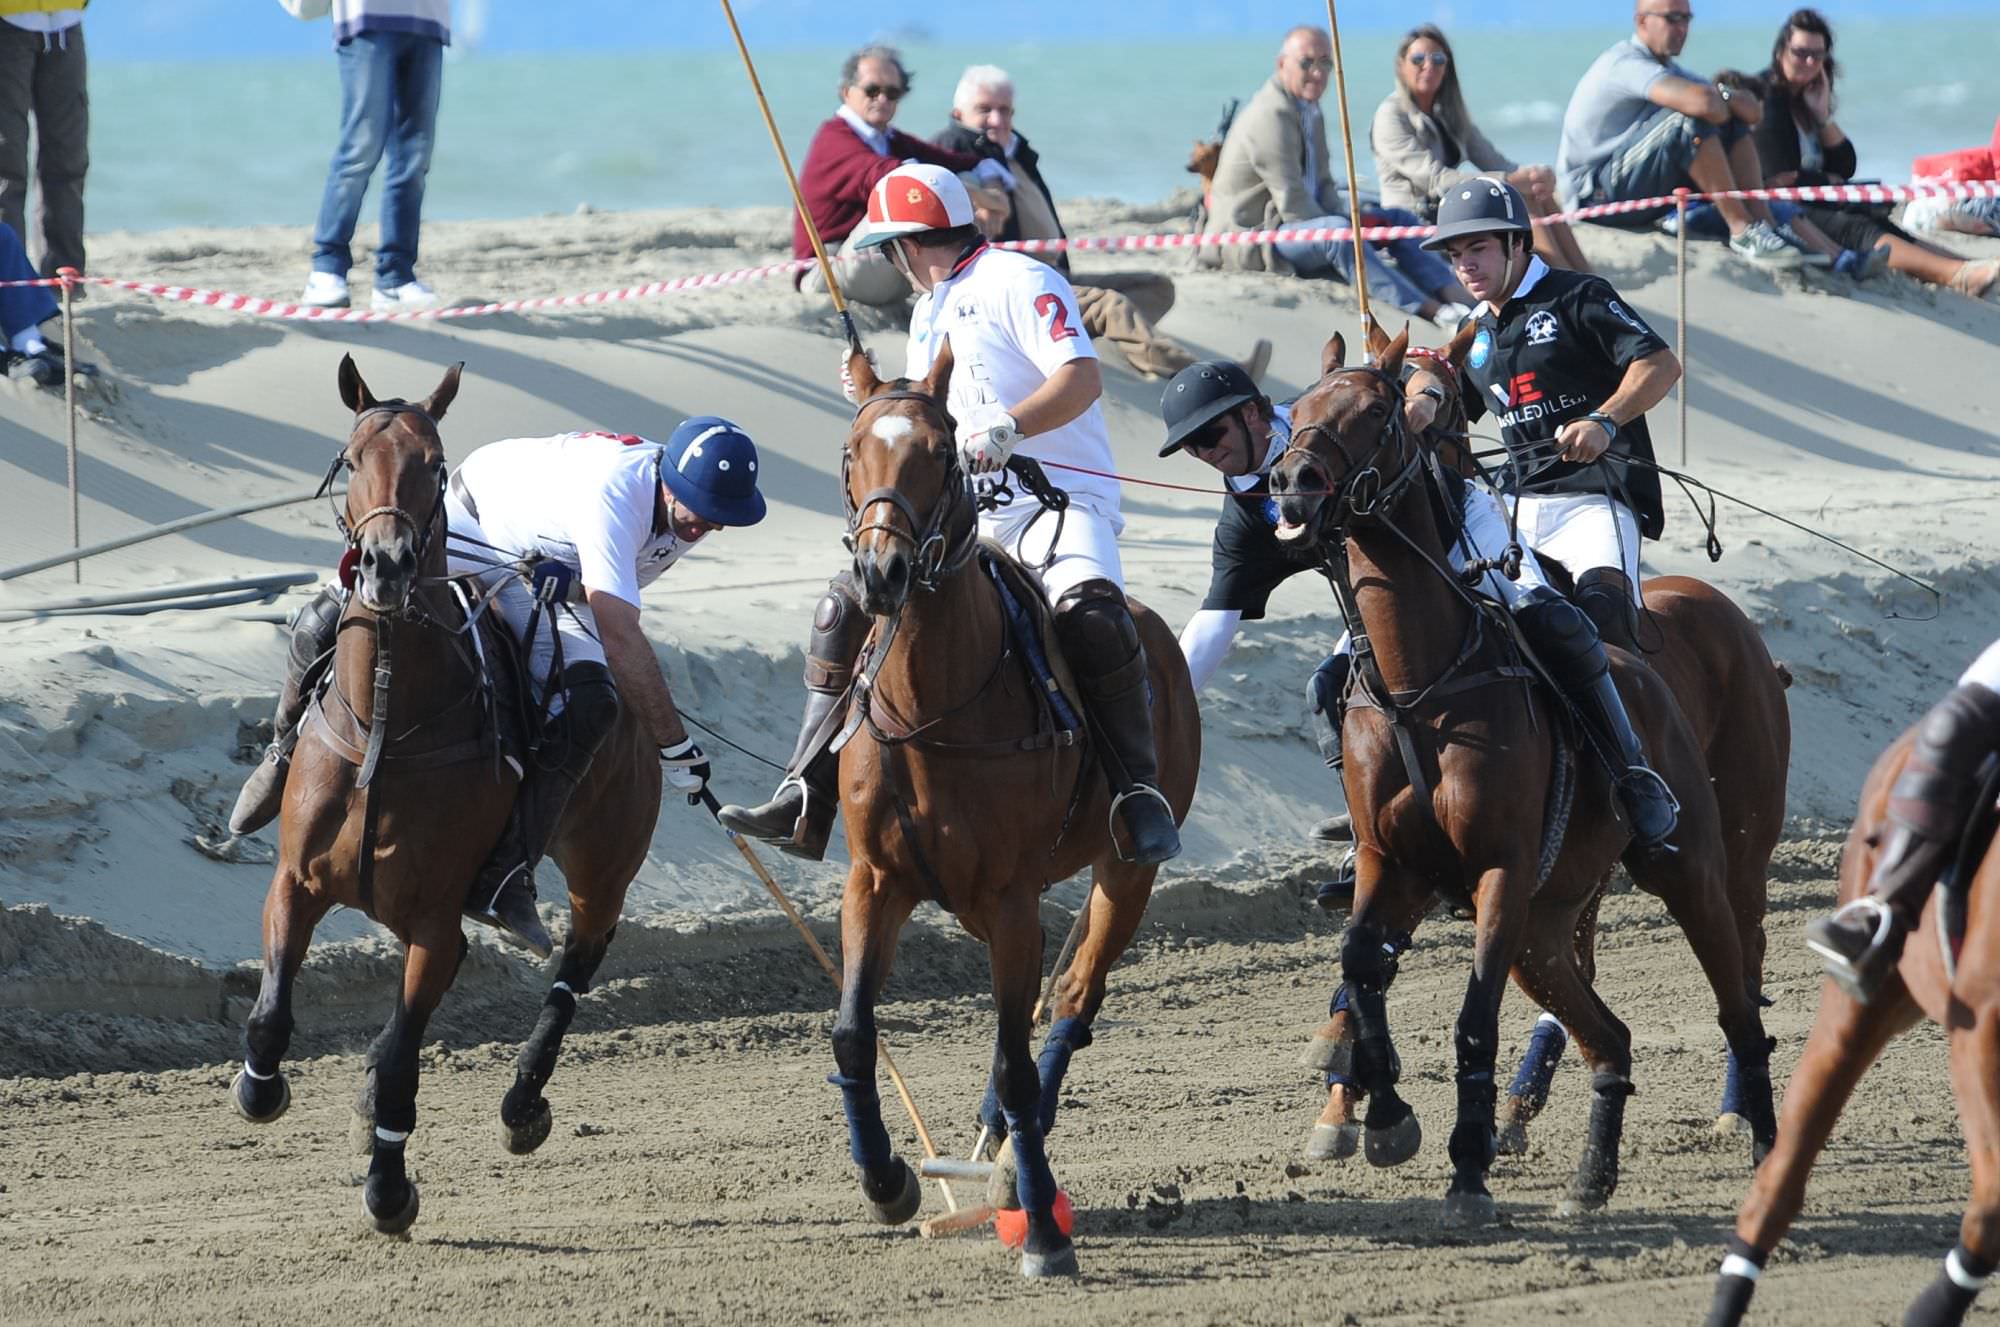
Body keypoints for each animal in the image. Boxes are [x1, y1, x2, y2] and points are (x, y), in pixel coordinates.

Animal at [227, 355, 664, 1231]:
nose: (388, 563)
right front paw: (264, 1084)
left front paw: (389, 1187)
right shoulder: (295, 880)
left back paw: (522, 1101)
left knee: (576, 964)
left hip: (606, 863)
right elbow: (271, 1016)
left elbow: (403, 1053)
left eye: (432, 464)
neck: (390, 719)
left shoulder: (436, 923)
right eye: (352, 457)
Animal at [832, 343, 1200, 1279]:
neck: (934, 703)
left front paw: (1041, 1232)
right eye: (855, 451)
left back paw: (1006, 1169)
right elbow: (854, 1030)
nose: (881, 574)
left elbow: (1020, 1056)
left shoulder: (1010, 901)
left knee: (1072, 996)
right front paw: (887, 1179)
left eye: (941, 450)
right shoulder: (876, 879)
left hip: (1125, 868)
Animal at [1272, 323, 1776, 1223]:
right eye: (1294, 408)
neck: (1418, 681)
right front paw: (1385, 1115)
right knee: (1609, 1035)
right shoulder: (1390, 862)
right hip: (1547, 922)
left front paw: (1467, 1166)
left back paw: (1762, 1144)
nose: (1292, 482)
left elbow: (1473, 1018)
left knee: (1738, 1000)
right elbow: (1362, 962)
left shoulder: (1499, 867)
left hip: (1699, 868)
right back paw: (1590, 1173)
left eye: (1374, 410)